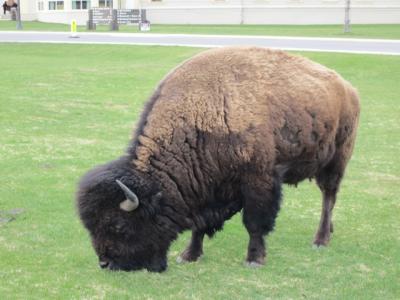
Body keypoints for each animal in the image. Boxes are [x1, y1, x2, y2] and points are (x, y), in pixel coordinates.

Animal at [76, 46, 360, 272]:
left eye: (118, 226)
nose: (105, 263)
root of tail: (347, 88)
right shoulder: (207, 189)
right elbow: (198, 225)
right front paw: (189, 255)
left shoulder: (259, 181)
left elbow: (254, 223)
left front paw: (254, 259)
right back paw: (328, 233)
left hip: (335, 162)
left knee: (328, 198)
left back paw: (320, 240)